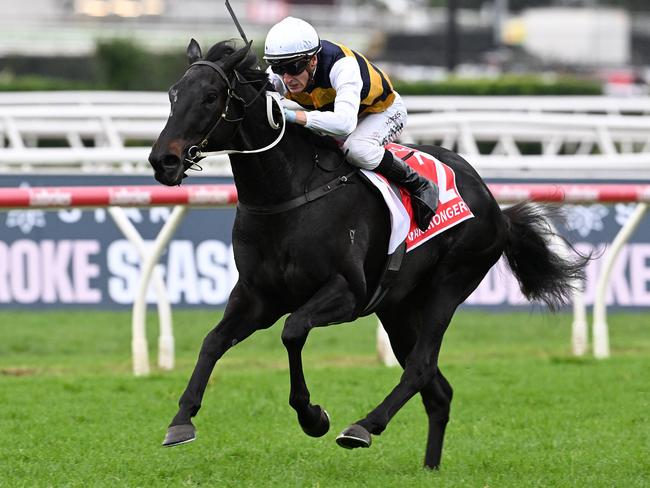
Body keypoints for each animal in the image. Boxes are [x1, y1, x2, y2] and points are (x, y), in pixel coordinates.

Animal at [149, 41, 584, 468]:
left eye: (210, 96)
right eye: (173, 94)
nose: (162, 160)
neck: (289, 194)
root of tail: (495, 205)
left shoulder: (347, 292)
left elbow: (293, 330)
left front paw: (313, 417)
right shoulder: (257, 296)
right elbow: (212, 341)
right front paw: (181, 419)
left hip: (450, 283)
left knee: (420, 367)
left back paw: (363, 426)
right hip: (398, 308)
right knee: (437, 390)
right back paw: (429, 467)